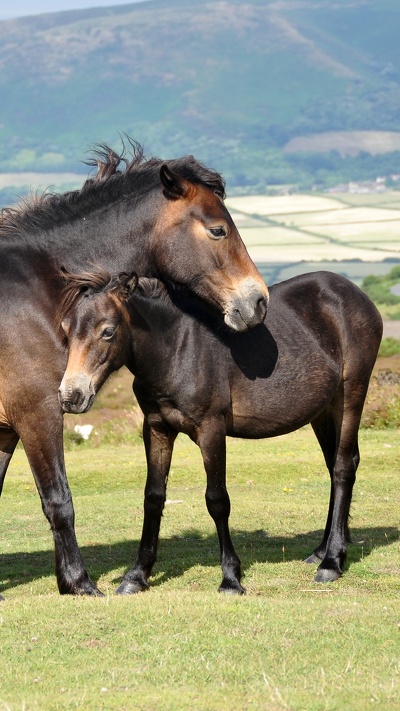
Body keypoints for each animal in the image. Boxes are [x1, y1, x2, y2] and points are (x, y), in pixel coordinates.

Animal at [0, 142, 268, 596]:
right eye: (218, 230)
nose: (258, 301)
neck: (36, 290)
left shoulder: (5, 427)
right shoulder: (38, 412)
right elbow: (59, 500)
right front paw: (78, 582)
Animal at [58, 270, 382, 592]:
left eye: (107, 331)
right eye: (65, 329)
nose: (71, 396)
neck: (178, 349)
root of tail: (355, 293)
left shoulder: (211, 430)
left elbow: (217, 500)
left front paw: (230, 577)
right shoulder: (156, 428)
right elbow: (153, 497)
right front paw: (136, 576)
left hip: (351, 394)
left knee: (343, 468)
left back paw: (332, 562)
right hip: (323, 411)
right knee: (335, 465)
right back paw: (321, 551)